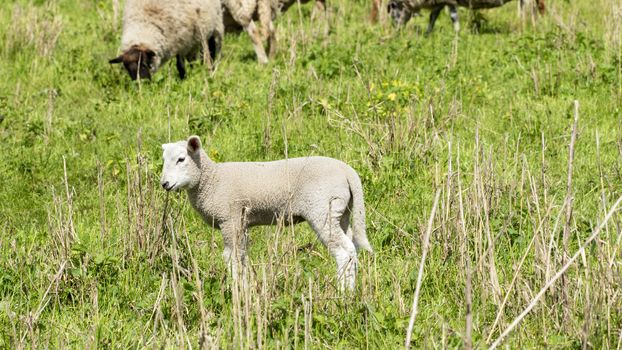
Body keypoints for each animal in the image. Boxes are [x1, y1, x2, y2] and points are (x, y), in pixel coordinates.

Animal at [162, 135, 376, 292]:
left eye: (181, 159)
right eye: (164, 161)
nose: (164, 184)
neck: (211, 179)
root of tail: (348, 171)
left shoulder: (230, 219)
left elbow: (231, 257)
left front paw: (237, 290)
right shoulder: (241, 222)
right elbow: (242, 255)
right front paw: (246, 286)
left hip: (322, 209)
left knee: (344, 251)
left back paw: (343, 293)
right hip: (341, 212)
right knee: (351, 248)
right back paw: (351, 290)